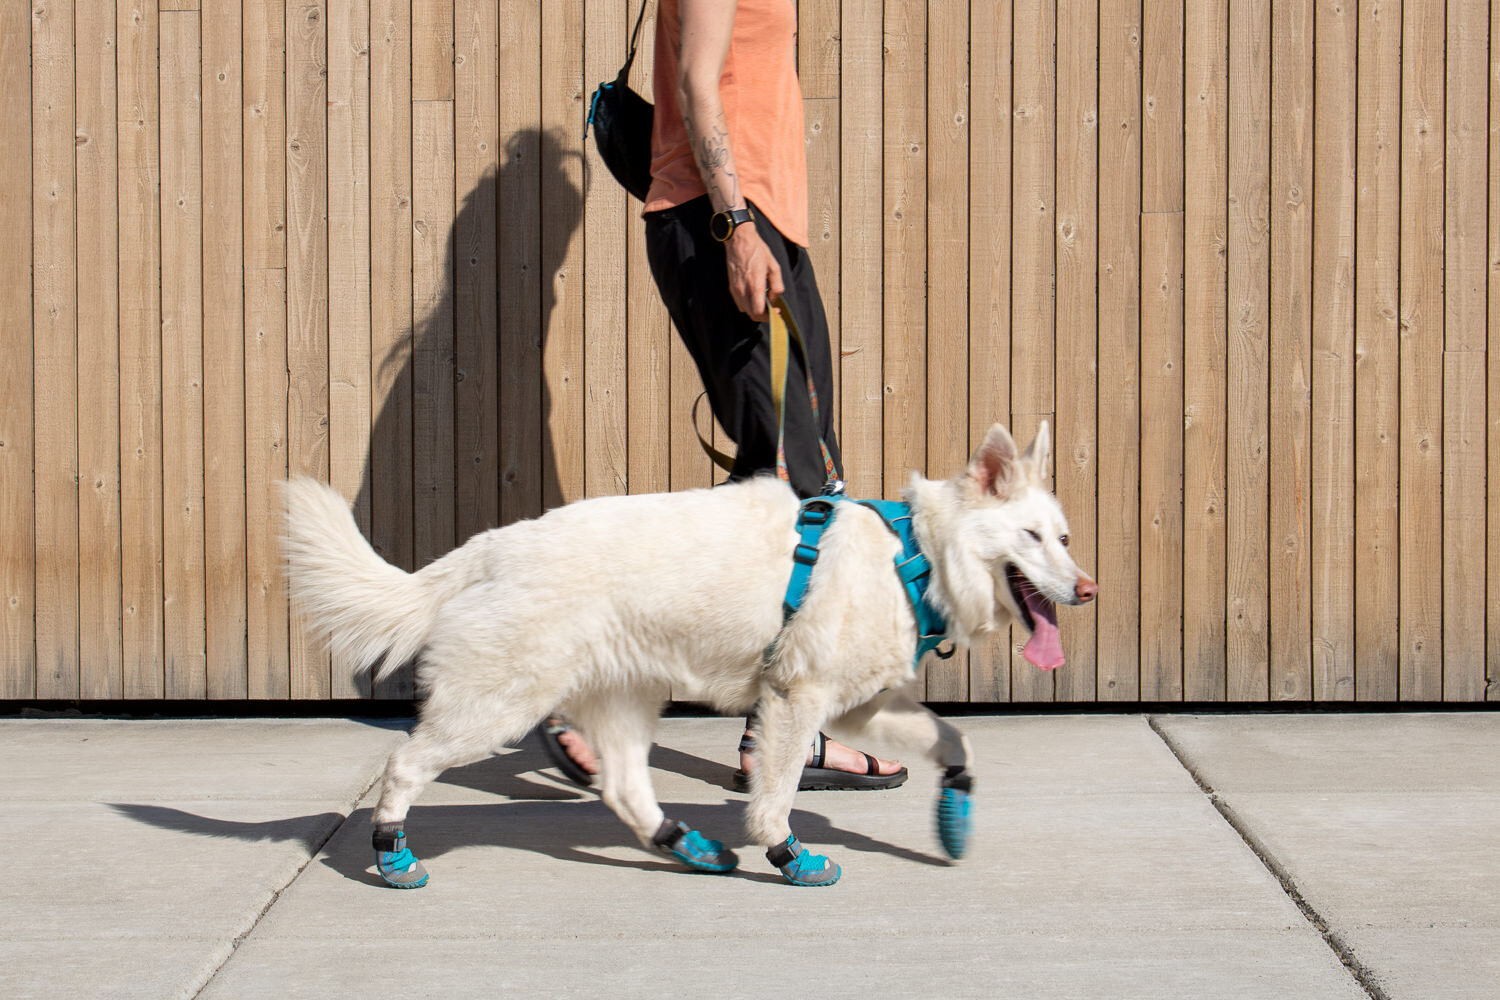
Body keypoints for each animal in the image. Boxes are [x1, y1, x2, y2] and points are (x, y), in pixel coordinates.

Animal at [282, 419, 1098, 887]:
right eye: (1031, 538)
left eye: (1062, 536)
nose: (1088, 590)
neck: (915, 552)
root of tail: (493, 544)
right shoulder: (797, 701)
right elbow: (774, 798)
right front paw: (788, 855)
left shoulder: (860, 710)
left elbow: (955, 739)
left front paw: (954, 811)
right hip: (496, 705)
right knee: (405, 764)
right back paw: (390, 852)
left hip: (625, 702)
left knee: (622, 789)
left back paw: (687, 846)